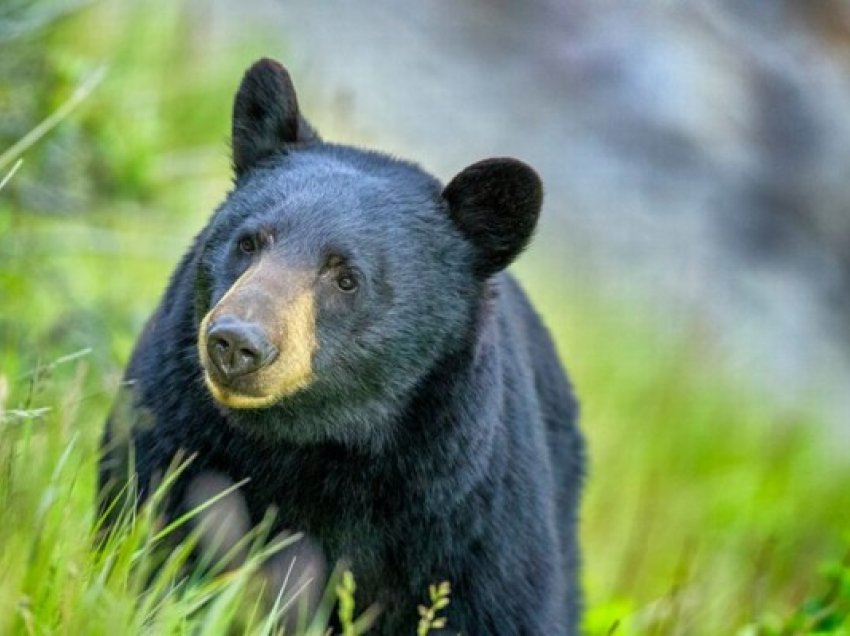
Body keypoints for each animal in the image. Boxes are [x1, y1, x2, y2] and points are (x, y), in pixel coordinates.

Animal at [99, 57, 584, 632]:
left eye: (346, 277)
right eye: (248, 241)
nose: (236, 343)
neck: (319, 447)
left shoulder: (473, 522)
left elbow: (500, 604)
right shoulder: (173, 429)